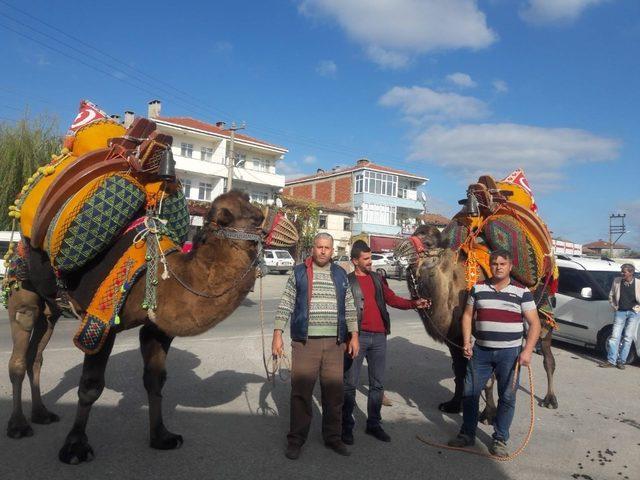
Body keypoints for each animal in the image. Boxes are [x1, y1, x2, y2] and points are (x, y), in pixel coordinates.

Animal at [6, 189, 272, 464]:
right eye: (256, 218)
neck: (161, 277)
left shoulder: (156, 329)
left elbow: (155, 380)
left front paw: (162, 437)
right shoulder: (102, 322)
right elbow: (90, 387)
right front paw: (75, 447)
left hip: (52, 309)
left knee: (36, 355)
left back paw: (42, 414)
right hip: (24, 292)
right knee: (20, 350)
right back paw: (18, 425)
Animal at [402, 225, 556, 424]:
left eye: (428, 242)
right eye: (413, 233)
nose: (401, 247)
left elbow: (488, 376)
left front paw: (488, 414)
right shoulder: (456, 336)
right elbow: (460, 371)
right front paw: (453, 404)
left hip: (544, 319)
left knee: (548, 358)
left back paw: (550, 400)